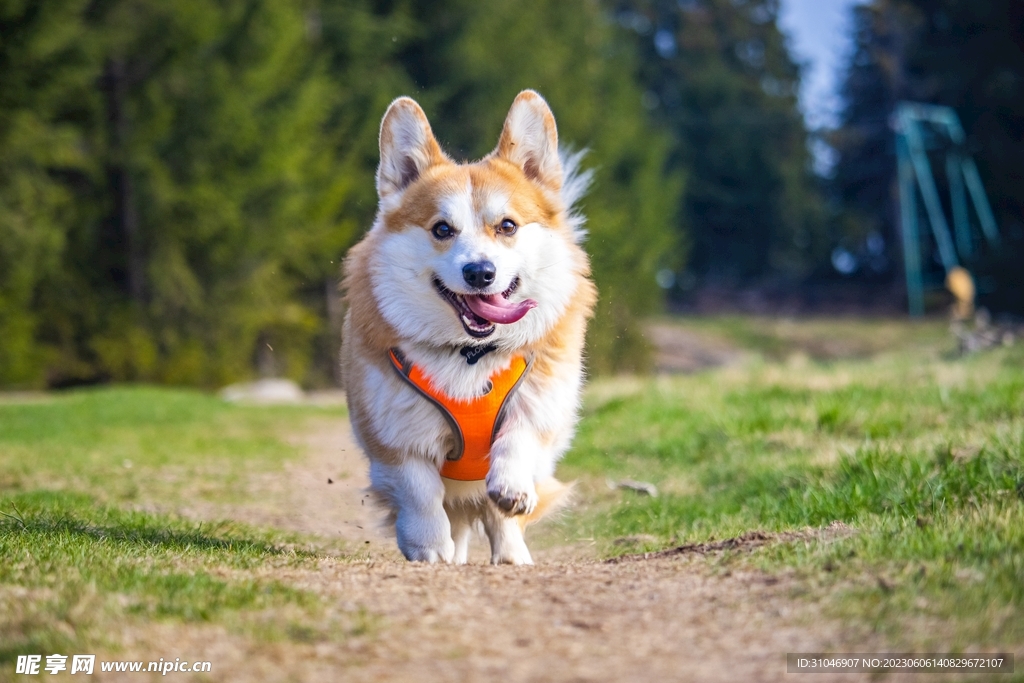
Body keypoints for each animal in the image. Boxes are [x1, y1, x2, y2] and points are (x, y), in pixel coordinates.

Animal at [342, 90, 598, 565]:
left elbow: (518, 440)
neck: (470, 352)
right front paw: (429, 547)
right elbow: (420, 491)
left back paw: (513, 554)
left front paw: (511, 489)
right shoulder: (394, 436)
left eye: (508, 226)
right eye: (442, 229)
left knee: (498, 518)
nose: (480, 272)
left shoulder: (540, 403)